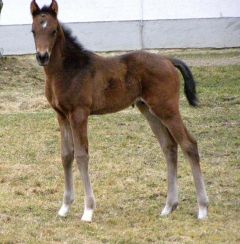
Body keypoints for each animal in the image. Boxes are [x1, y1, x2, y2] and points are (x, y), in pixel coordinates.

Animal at [30, 0, 208, 221]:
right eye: (33, 31)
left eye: (53, 30)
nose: (42, 56)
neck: (68, 70)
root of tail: (168, 60)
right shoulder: (61, 115)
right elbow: (66, 155)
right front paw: (64, 207)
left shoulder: (79, 114)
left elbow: (81, 155)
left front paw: (88, 210)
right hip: (149, 110)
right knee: (169, 146)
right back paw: (169, 206)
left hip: (167, 109)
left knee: (189, 144)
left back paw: (202, 208)